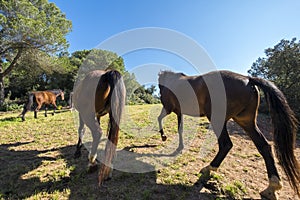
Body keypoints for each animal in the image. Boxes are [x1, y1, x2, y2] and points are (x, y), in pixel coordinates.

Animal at [158, 70, 298, 198]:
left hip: (218, 119)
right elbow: (179, 129)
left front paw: (163, 136)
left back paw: (209, 168)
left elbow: (160, 119)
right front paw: (179, 147)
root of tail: (248, 79)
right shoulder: (179, 112)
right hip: (246, 122)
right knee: (264, 146)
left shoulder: (169, 108)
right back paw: (272, 187)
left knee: (226, 144)